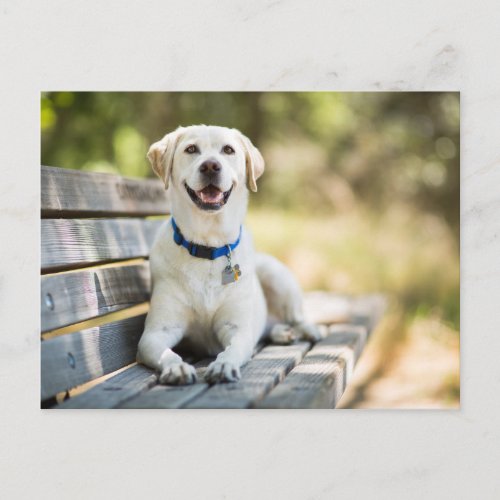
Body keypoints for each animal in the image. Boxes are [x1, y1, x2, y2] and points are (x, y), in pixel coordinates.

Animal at [136, 126, 320, 386]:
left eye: (228, 150)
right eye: (191, 149)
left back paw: (307, 330)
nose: (211, 166)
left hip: (275, 274)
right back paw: (281, 332)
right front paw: (177, 367)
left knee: (295, 316)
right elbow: (166, 353)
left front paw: (223, 365)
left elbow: (233, 349)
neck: (208, 246)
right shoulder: (156, 333)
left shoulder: (237, 329)